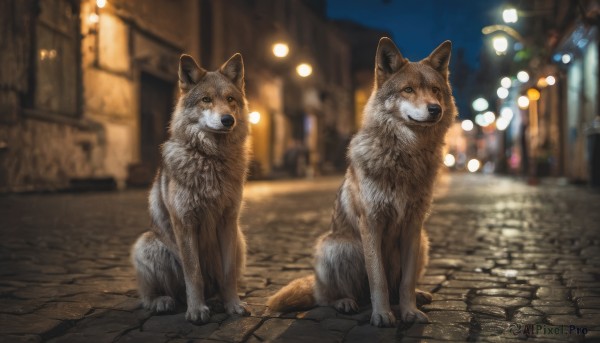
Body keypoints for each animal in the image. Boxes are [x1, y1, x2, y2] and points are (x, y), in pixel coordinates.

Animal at [131, 53, 251, 326]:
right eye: (206, 99)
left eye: (230, 99)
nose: (228, 120)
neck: (210, 159)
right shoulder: (185, 223)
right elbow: (193, 274)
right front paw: (196, 310)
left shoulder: (228, 222)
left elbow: (228, 275)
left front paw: (233, 305)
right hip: (146, 244)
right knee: (149, 295)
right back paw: (162, 302)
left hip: (240, 240)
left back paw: (216, 301)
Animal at [264, 38, 458, 328]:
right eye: (408, 90)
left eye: (435, 90)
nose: (436, 108)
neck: (406, 156)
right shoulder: (372, 224)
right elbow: (378, 280)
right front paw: (383, 316)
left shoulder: (414, 227)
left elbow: (406, 282)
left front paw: (409, 311)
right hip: (339, 247)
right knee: (328, 297)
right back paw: (345, 302)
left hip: (424, 242)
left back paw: (419, 296)